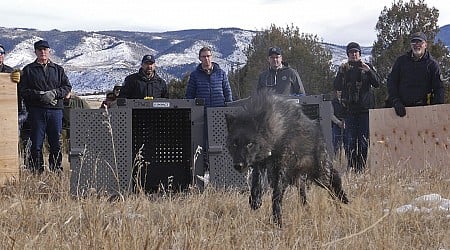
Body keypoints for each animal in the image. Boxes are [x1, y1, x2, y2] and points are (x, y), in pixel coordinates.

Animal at [227, 91, 350, 227]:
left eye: (250, 144)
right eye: (234, 144)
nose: (238, 165)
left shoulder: (280, 170)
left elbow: (276, 195)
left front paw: (277, 221)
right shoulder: (260, 164)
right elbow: (256, 182)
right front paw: (255, 201)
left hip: (320, 176)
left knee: (333, 183)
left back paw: (341, 203)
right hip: (299, 180)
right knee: (304, 197)